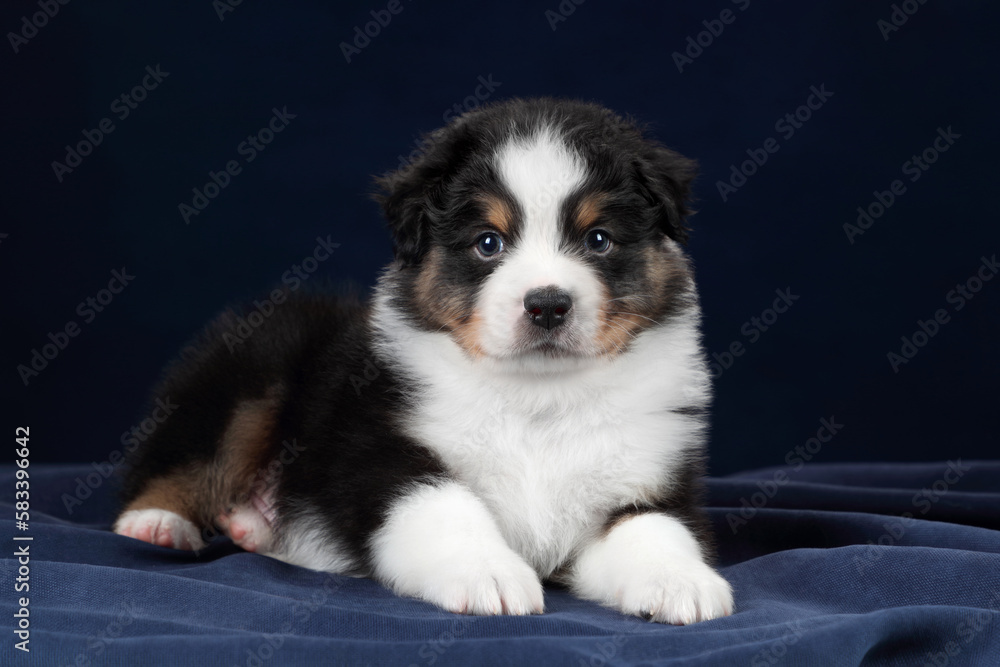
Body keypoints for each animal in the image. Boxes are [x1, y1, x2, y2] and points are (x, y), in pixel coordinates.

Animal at [113, 99, 736, 628]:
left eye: (599, 239)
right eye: (488, 243)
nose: (547, 305)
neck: (538, 397)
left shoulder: (651, 477)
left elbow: (657, 529)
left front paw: (682, 583)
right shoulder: (382, 450)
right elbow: (445, 505)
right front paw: (490, 575)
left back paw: (253, 527)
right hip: (256, 364)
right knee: (192, 454)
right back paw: (158, 523)